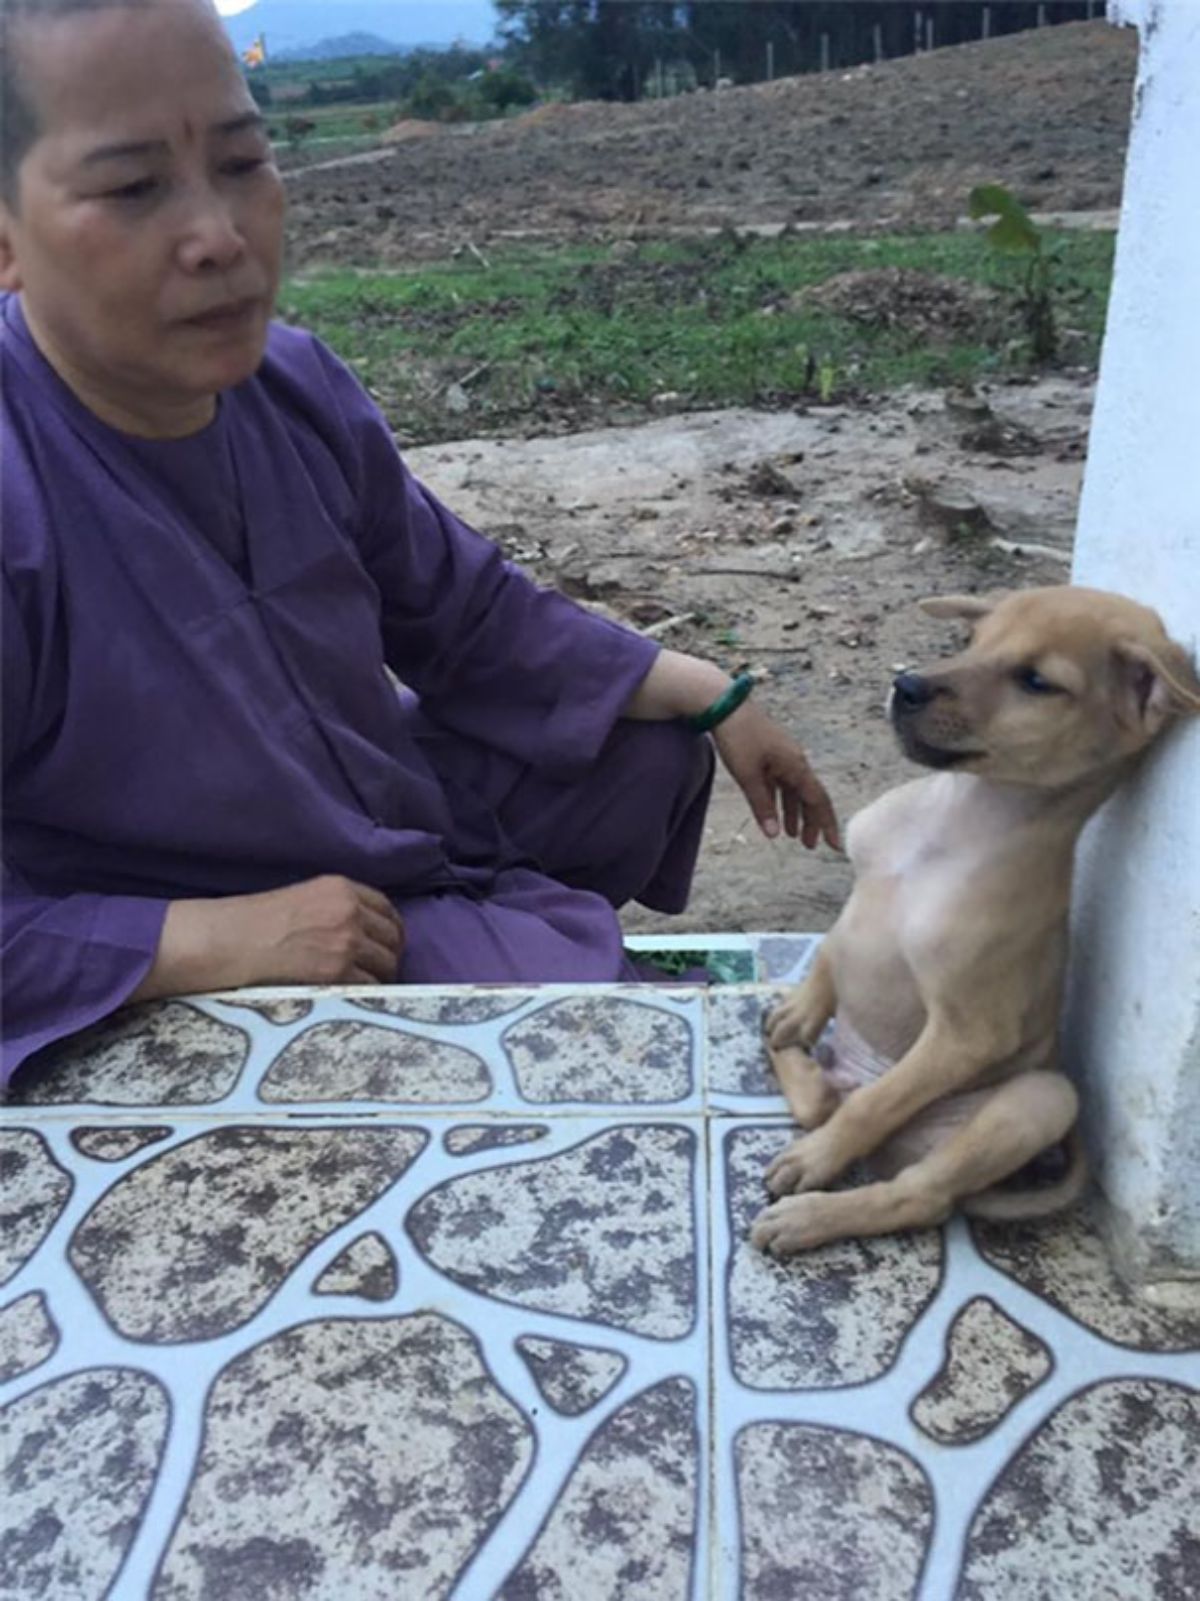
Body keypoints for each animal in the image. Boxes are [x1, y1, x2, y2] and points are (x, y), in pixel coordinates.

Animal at [755, 582, 1196, 1255]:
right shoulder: (858, 898)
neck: (953, 818)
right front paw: (800, 1013)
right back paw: (790, 1050)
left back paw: (811, 1212)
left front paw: (817, 1160)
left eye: (1036, 681)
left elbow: (877, 1104)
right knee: (825, 1101)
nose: (906, 686)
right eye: (972, 641)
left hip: (1040, 1098)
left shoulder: (969, 1034)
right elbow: (832, 951)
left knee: (914, 1184)